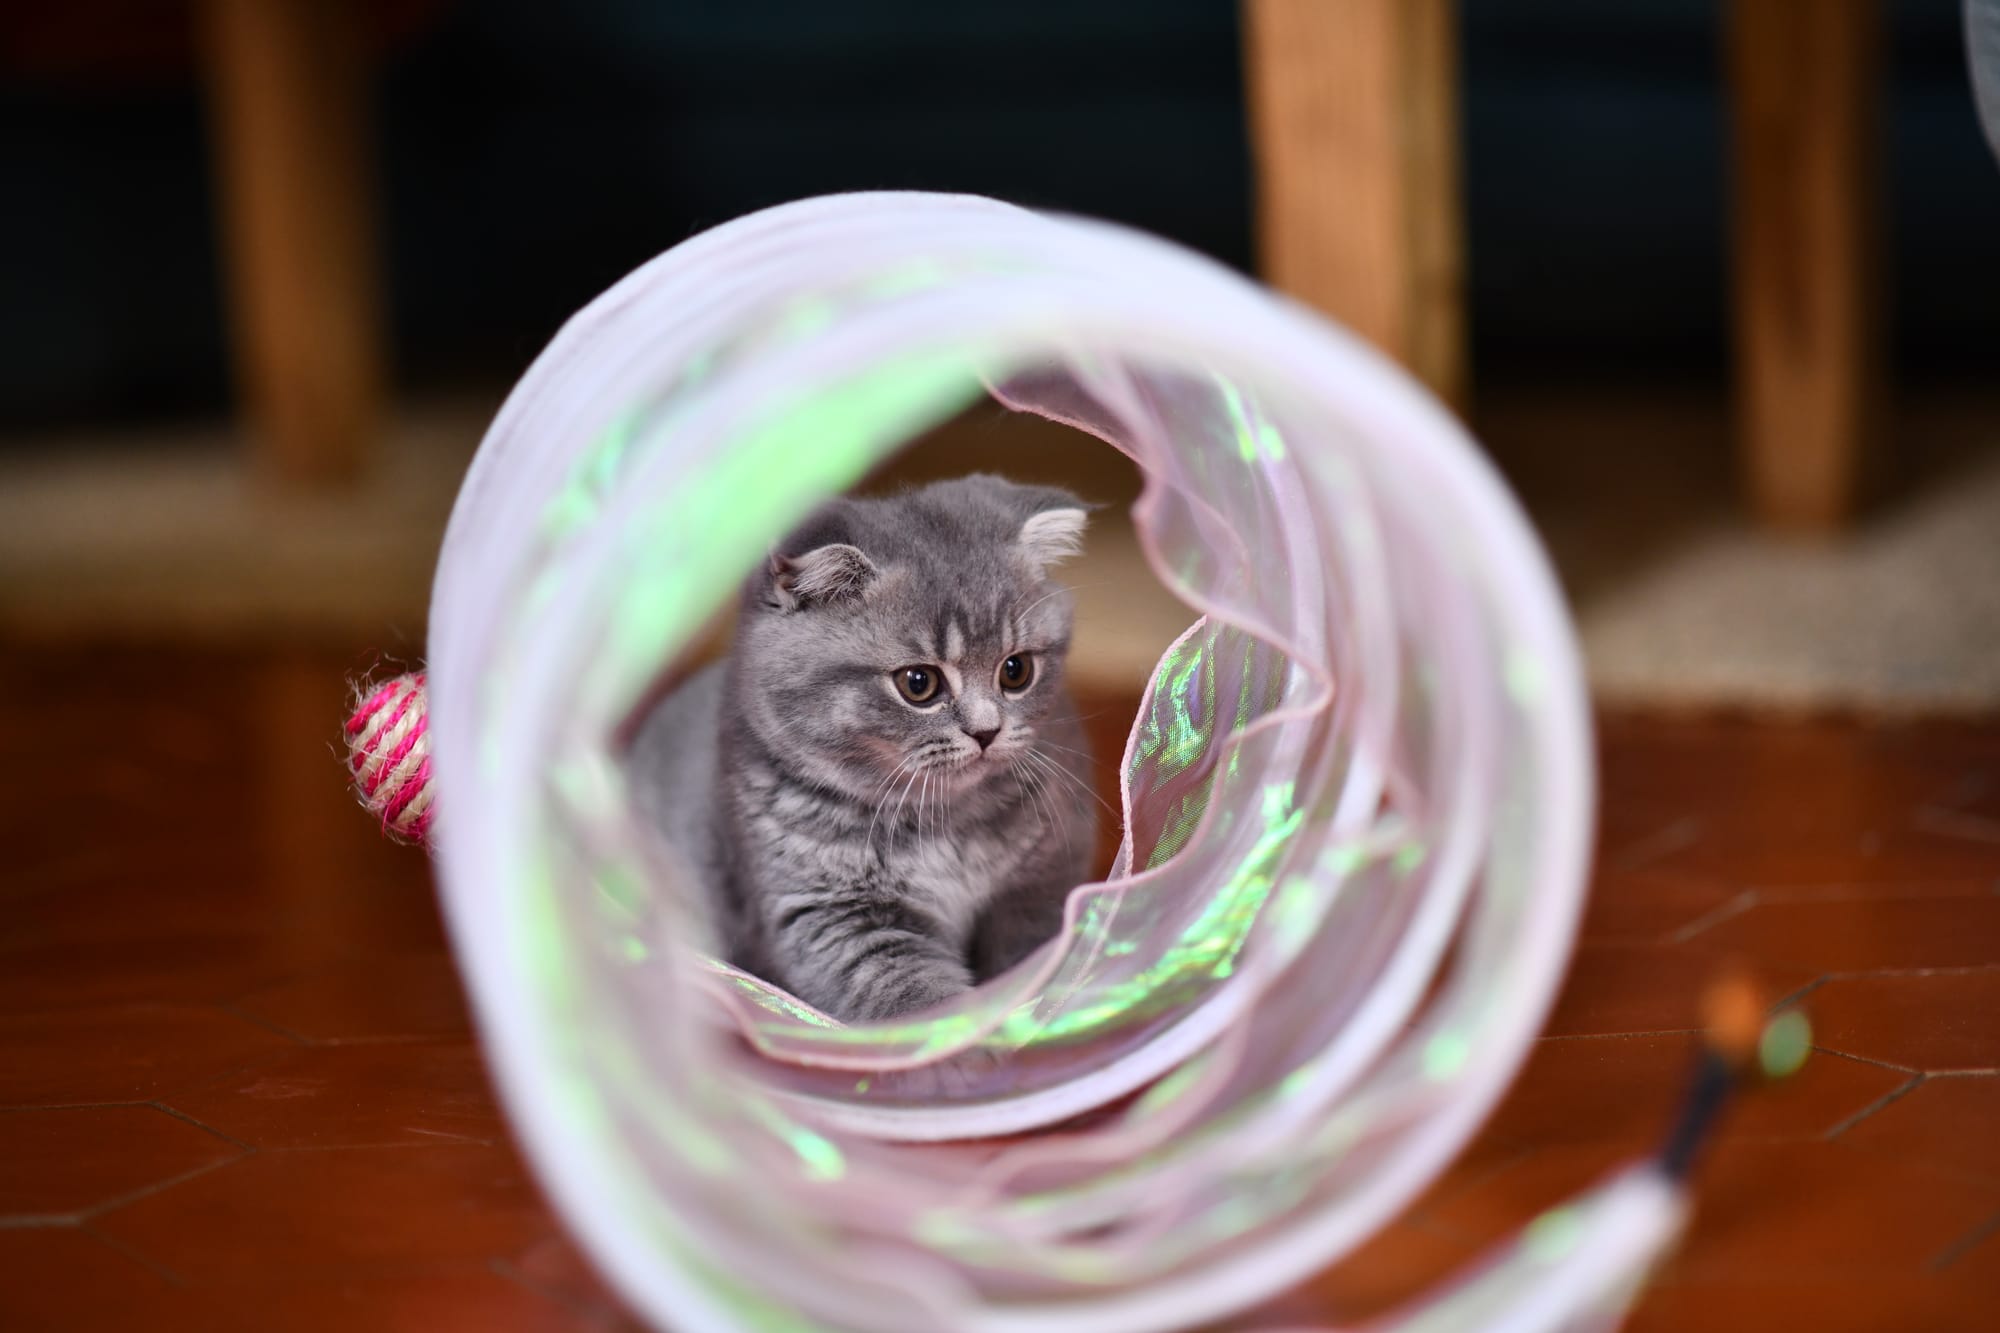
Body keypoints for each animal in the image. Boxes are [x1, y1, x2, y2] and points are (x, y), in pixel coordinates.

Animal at [629, 474, 1099, 1023]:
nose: (987, 731)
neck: (944, 819)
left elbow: (1028, 958)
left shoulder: (1042, 881)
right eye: (918, 683)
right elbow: (920, 1004)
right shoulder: (839, 921)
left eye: (1016, 670)